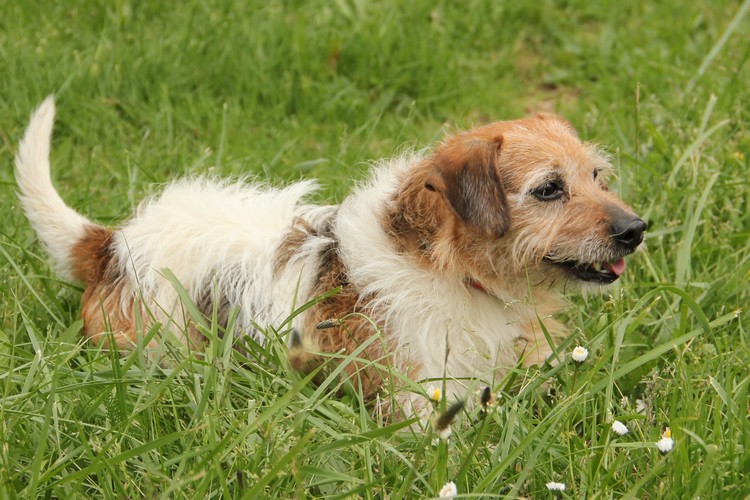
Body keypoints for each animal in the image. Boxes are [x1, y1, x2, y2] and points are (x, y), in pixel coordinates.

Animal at [16, 95, 648, 416]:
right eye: (548, 189)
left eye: (597, 176)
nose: (636, 229)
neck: (447, 267)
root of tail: (112, 244)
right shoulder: (424, 402)